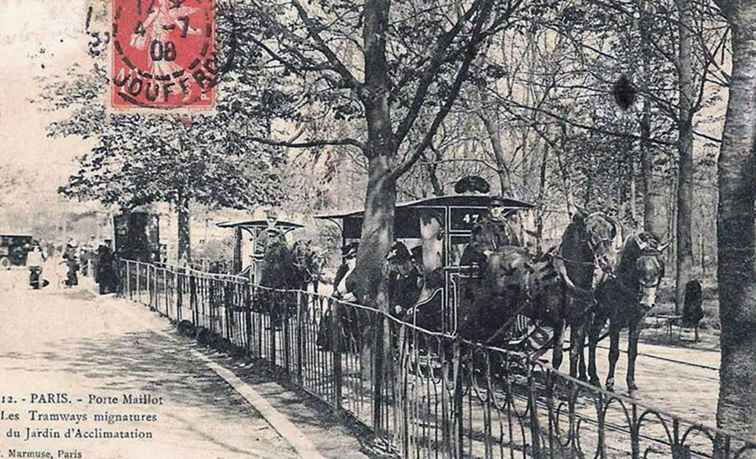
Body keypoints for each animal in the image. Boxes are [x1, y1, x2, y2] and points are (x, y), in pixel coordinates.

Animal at [588, 232, 672, 398]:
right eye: (638, 267)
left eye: (659, 268)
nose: (647, 303)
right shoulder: (615, 321)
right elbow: (614, 353)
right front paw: (610, 385)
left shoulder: (638, 321)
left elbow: (632, 352)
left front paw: (631, 385)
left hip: (600, 314)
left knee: (591, 338)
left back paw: (590, 376)